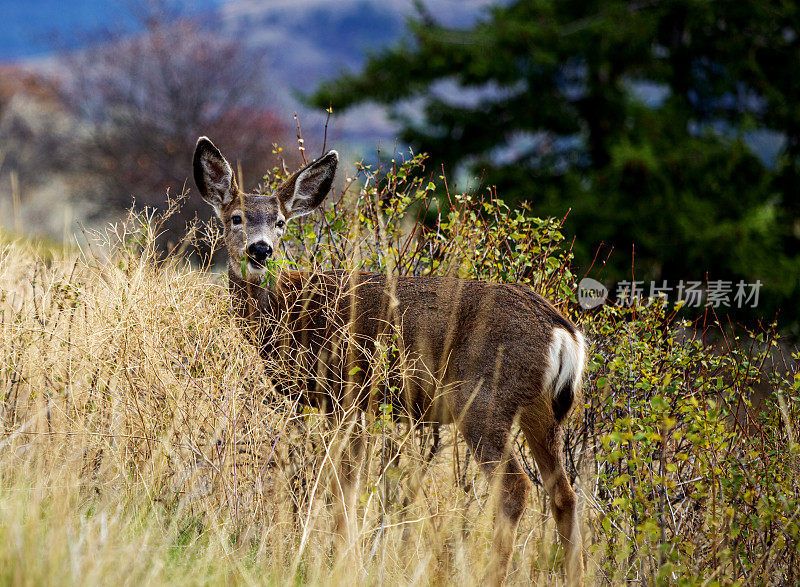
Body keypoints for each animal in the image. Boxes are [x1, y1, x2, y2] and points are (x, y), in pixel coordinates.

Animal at [191, 137, 584, 584]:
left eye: (280, 222)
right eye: (236, 217)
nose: (260, 250)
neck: (290, 312)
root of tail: (563, 332)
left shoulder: (345, 390)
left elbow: (344, 487)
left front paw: (345, 561)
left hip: (484, 397)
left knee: (516, 489)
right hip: (541, 410)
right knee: (563, 493)